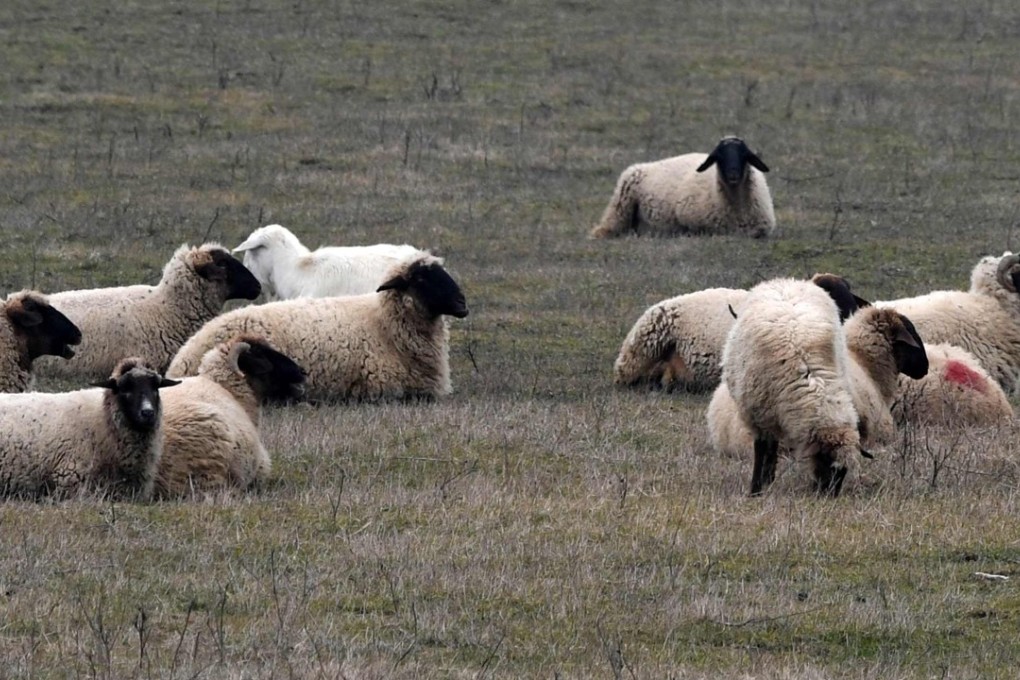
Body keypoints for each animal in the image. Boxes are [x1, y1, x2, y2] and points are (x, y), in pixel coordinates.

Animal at [590, 136, 775, 239]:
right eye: (718, 156)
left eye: (744, 154)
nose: (733, 175)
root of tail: (642, 166)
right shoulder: (693, 223)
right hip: (620, 207)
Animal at [720, 278, 868, 496]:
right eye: (826, 461)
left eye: (843, 473)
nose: (829, 496)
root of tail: (785, 281)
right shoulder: (759, 417)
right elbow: (761, 450)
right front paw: (756, 489)